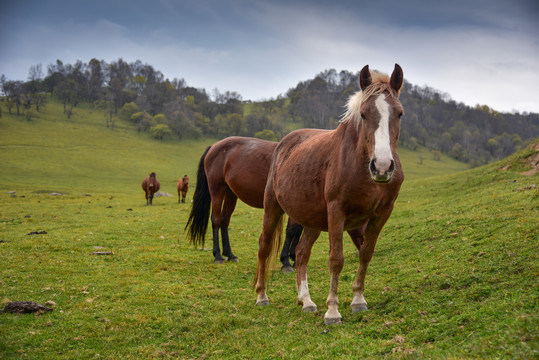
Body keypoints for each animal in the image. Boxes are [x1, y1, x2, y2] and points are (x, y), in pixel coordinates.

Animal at [186, 136, 304, 268]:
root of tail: (214, 146)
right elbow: (291, 230)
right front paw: (286, 261)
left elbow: (297, 230)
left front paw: (294, 257)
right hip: (217, 189)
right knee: (216, 220)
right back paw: (218, 256)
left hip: (230, 194)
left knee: (224, 220)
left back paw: (230, 254)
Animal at [256, 64, 404, 326]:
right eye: (363, 114)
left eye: (399, 114)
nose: (382, 166)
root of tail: (284, 145)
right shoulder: (337, 211)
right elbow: (336, 259)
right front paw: (332, 311)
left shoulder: (382, 213)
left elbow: (366, 253)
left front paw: (358, 300)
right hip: (272, 207)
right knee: (264, 247)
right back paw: (262, 296)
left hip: (312, 219)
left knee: (301, 253)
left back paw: (306, 301)